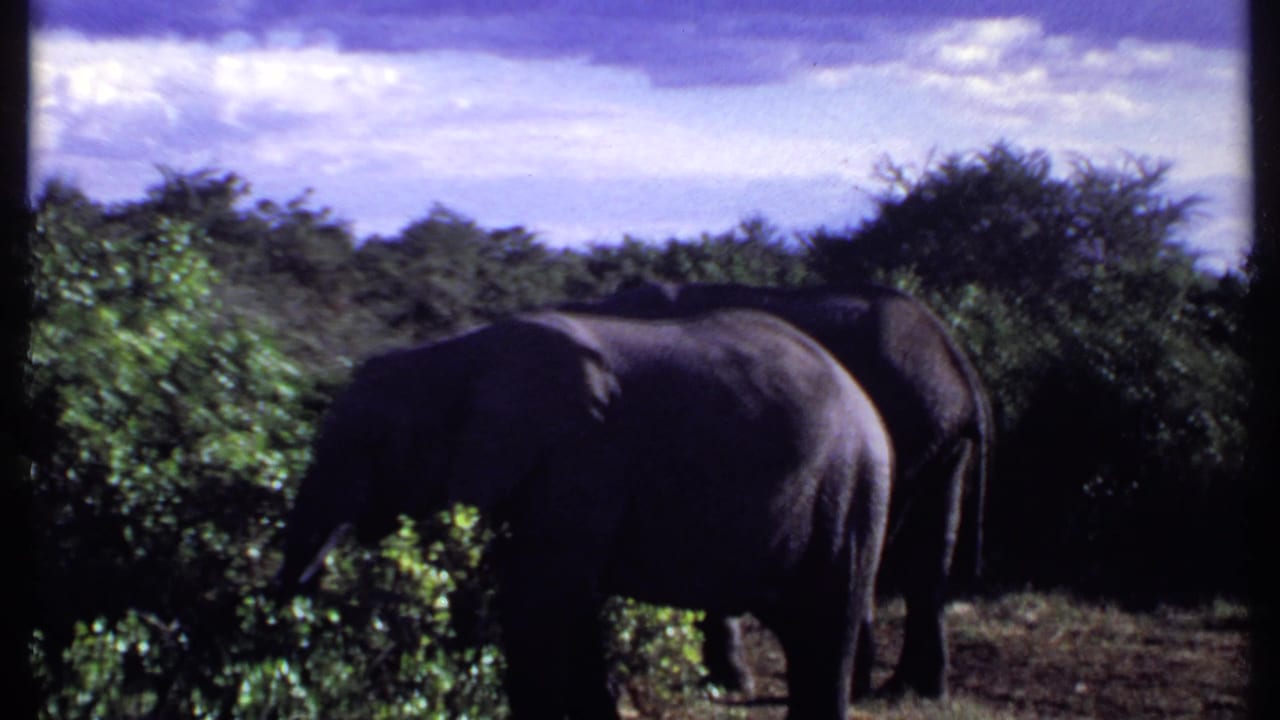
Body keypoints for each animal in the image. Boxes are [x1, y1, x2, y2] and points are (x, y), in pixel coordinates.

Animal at [275, 309, 893, 720]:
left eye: (370, 444)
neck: (456, 356)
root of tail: (863, 399)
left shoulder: (580, 459)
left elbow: (540, 602)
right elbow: (565, 607)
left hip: (851, 491)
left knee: (825, 625)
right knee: (803, 631)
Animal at [560, 281, 992, 698]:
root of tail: (959, 367)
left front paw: (726, 684)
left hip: (911, 427)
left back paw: (874, 687)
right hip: (942, 442)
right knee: (926, 557)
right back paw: (912, 692)